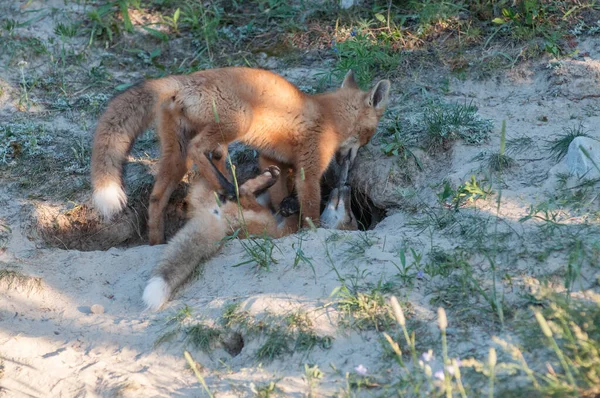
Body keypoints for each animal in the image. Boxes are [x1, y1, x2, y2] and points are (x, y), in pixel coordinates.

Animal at [88, 66, 390, 243]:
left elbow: (280, 194)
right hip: (238, 122)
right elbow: (311, 206)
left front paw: (284, 209)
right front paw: (312, 231)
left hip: (177, 155)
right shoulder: (309, 168)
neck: (330, 117)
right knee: (199, 149)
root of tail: (185, 80)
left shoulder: (273, 158)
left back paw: (156, 242)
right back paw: (227, 188)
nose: (349, 169)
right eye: (369, 136)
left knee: (157, 198)